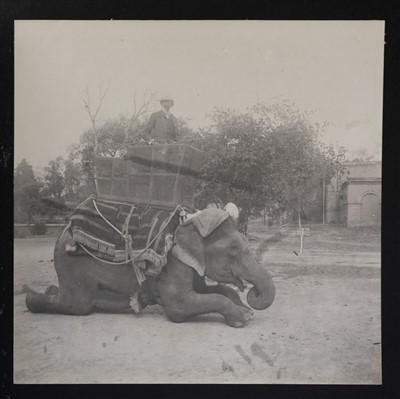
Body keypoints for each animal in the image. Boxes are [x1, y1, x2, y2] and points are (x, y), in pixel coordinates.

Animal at [25, 206, 276, 328]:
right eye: (234, 248)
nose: (253, 294)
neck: (191, 222)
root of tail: (64, 228)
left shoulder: (190, 261)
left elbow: (212, 290)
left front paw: (242, 309)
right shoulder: (173, 262)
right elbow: (177, 305)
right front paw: (244, 317)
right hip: (70, 263)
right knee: (78, 306)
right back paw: (29, 298)